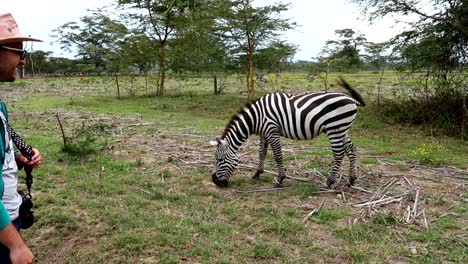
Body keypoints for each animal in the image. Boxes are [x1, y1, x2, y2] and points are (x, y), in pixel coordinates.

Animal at [210, 76, 368, 188]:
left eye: (220, 160)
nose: (214, 181)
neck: (256, 117)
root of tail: (351, 100)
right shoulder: (264, 133)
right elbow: (261, 153)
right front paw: (257, 173)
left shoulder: (272, 131)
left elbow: (278, 155)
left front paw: (280, 179)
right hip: (343, 129)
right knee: (352, 149)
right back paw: (351, 180)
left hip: (334, 128)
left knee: (338, 153)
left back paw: (330, 181)